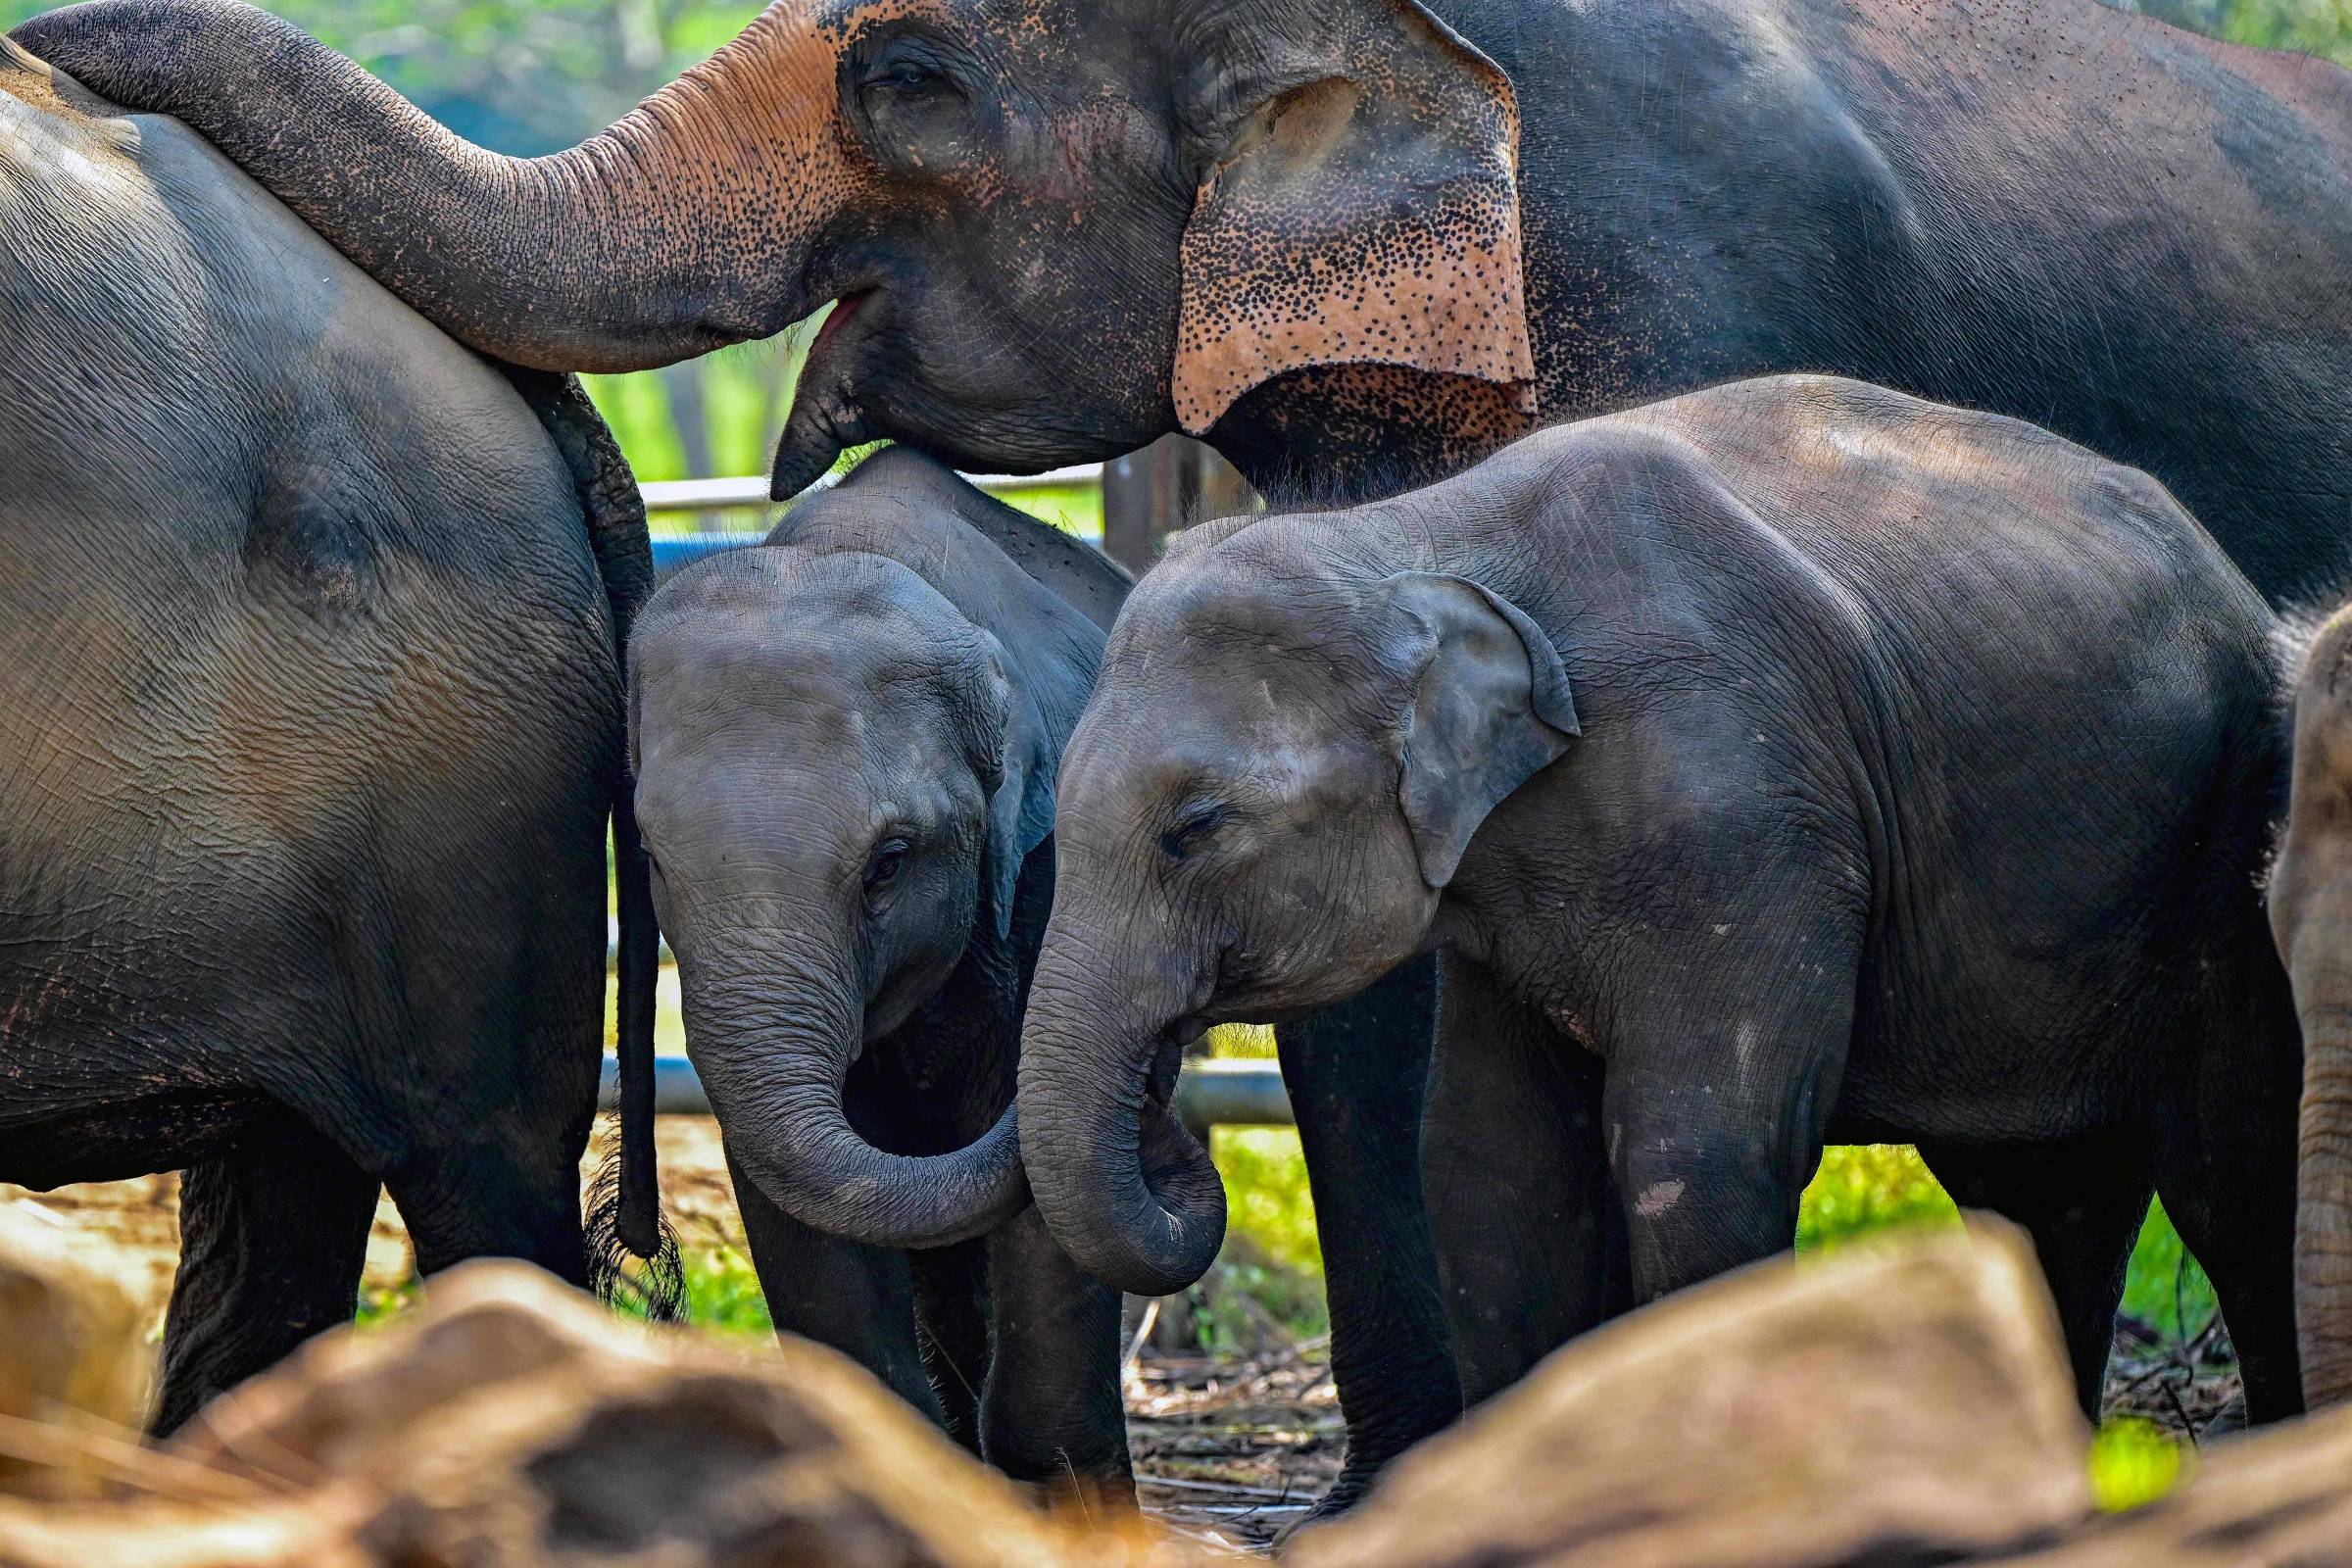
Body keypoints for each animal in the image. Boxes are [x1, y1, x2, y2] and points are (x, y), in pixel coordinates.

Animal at [1020, 375, 2305, 1419]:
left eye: (1194, 829)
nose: (1168, 1104)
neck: (1413, 537)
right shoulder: (1504, 891)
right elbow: (1494, 1172)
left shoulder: (1745, 816)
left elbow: (1702, 1155)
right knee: (2045, 1199)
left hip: (2227, 851)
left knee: (2234, 1183)